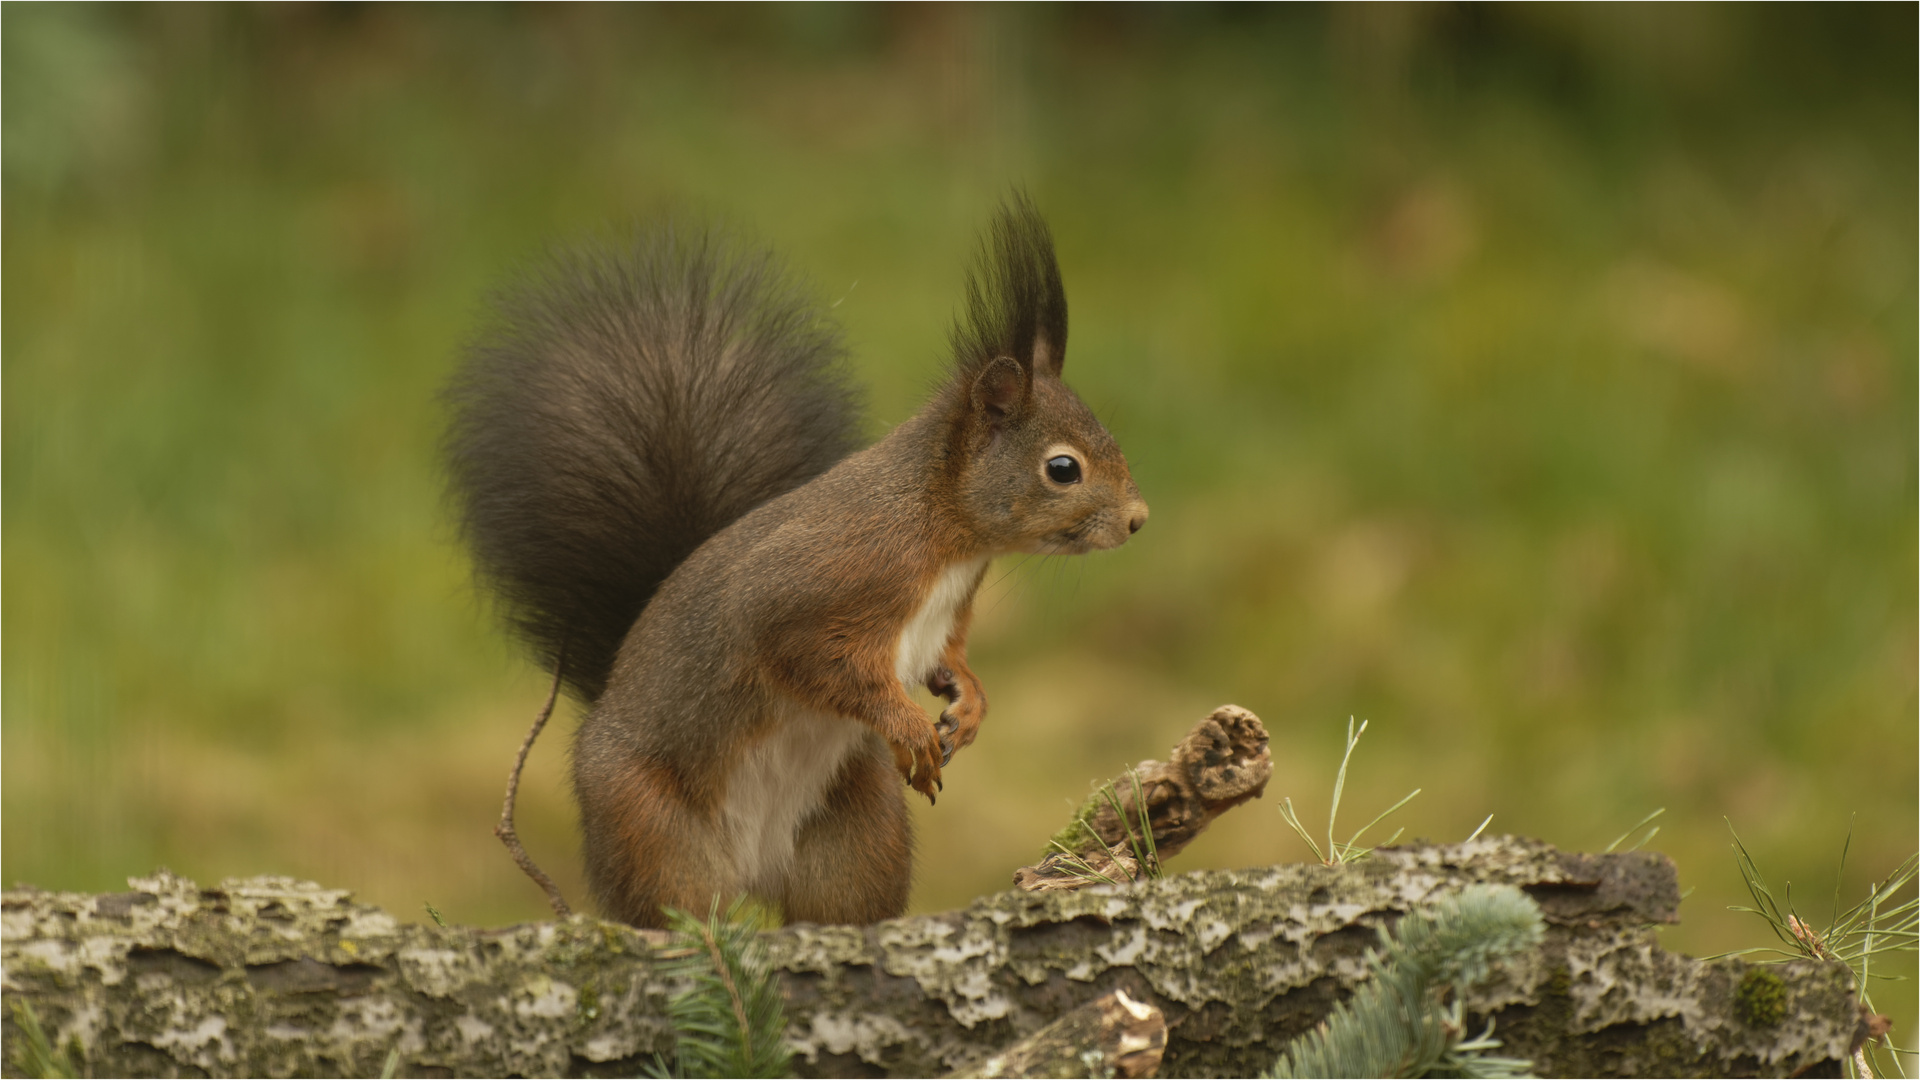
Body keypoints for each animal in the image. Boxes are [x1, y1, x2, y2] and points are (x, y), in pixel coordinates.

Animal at [441, 195, 1144, 926]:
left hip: (857, 836)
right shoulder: (817, 584)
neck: (945, 534)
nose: (1137, 519)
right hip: (652, 831)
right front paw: (911, 727)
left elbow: (948, 662)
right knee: (677, 909)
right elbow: (812, 657)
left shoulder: (942, 624)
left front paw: (969, 705)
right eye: (1062, 468)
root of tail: (754, 868)